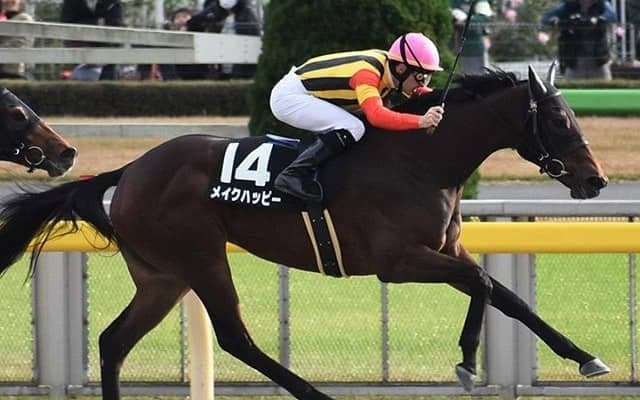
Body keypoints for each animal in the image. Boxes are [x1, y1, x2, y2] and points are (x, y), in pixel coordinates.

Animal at [0, 65, 609, 399]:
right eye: (560, 120)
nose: (595, 179)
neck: (420, 160)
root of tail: (129, 171)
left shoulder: (446, 252)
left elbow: (509, 298)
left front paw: (585, 357)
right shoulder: (400, 262)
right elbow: (485, 287)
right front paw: (464, 361)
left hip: (162, 277)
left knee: (113, 341)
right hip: (201, 257)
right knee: (235, 338)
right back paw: (316, 396)